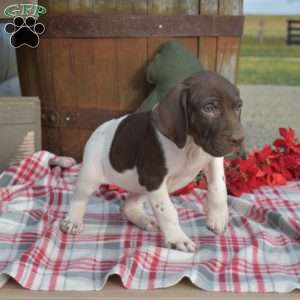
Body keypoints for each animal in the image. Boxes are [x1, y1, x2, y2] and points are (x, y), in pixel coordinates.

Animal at [60, 71, 244, 252]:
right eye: (209, 108)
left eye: (238, 106)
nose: (239, 139)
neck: (191, 145)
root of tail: (99, 129)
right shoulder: (155, 178)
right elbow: (167, 210)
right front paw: (178, 239)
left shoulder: (213, 158)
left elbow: (219, 186)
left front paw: (218, 217)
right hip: (91, 175)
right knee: (79, 198)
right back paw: (72, 222)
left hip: (140, 184)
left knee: (128, 206)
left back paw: (145, 220)